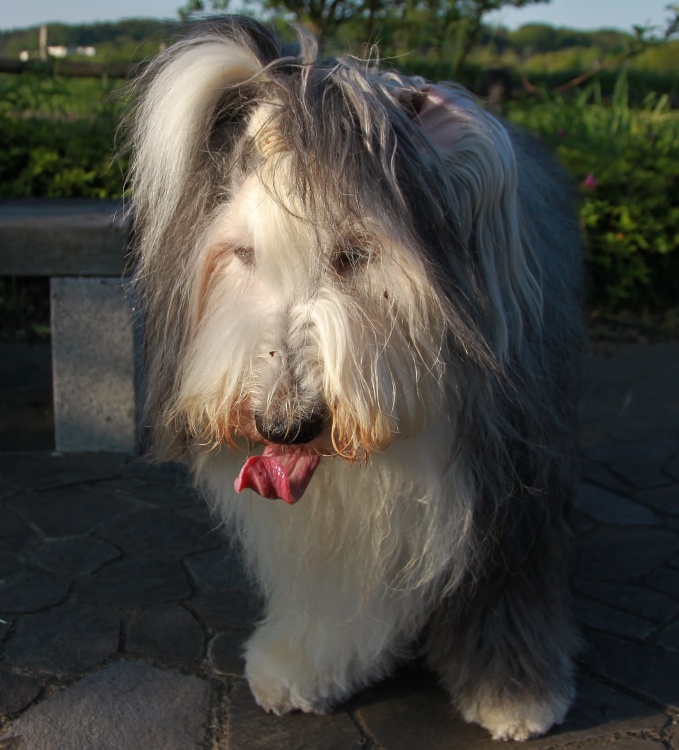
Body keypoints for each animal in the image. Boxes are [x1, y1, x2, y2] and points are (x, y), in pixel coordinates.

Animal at [128, 15, 582, 741]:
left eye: (355, 254)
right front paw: (301, 665)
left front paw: (515, 698)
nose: (283, 423)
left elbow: (507, 581)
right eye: (242, 254)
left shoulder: (511, 474)